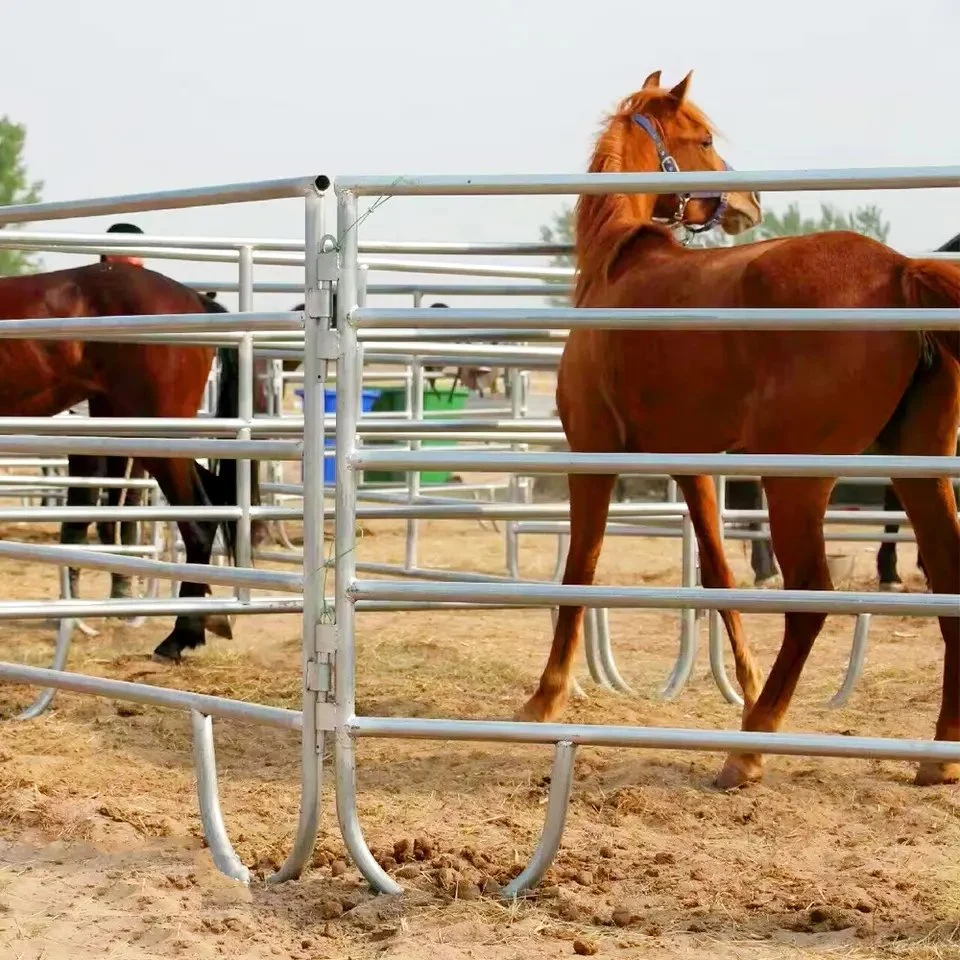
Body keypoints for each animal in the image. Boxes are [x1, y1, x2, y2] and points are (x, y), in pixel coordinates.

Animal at [516, 75, 960, 792]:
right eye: (703, 139)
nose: (751, 202)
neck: (616, 269)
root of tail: (899, 270)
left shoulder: (592, 455)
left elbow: (580, 570)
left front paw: (546, 696)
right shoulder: (692, 466)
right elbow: (721, 575)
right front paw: (745, 686)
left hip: (797, 479)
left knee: (811, 597)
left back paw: (749, 749)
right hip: (915, 463)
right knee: (946, 576)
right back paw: (938, 752)